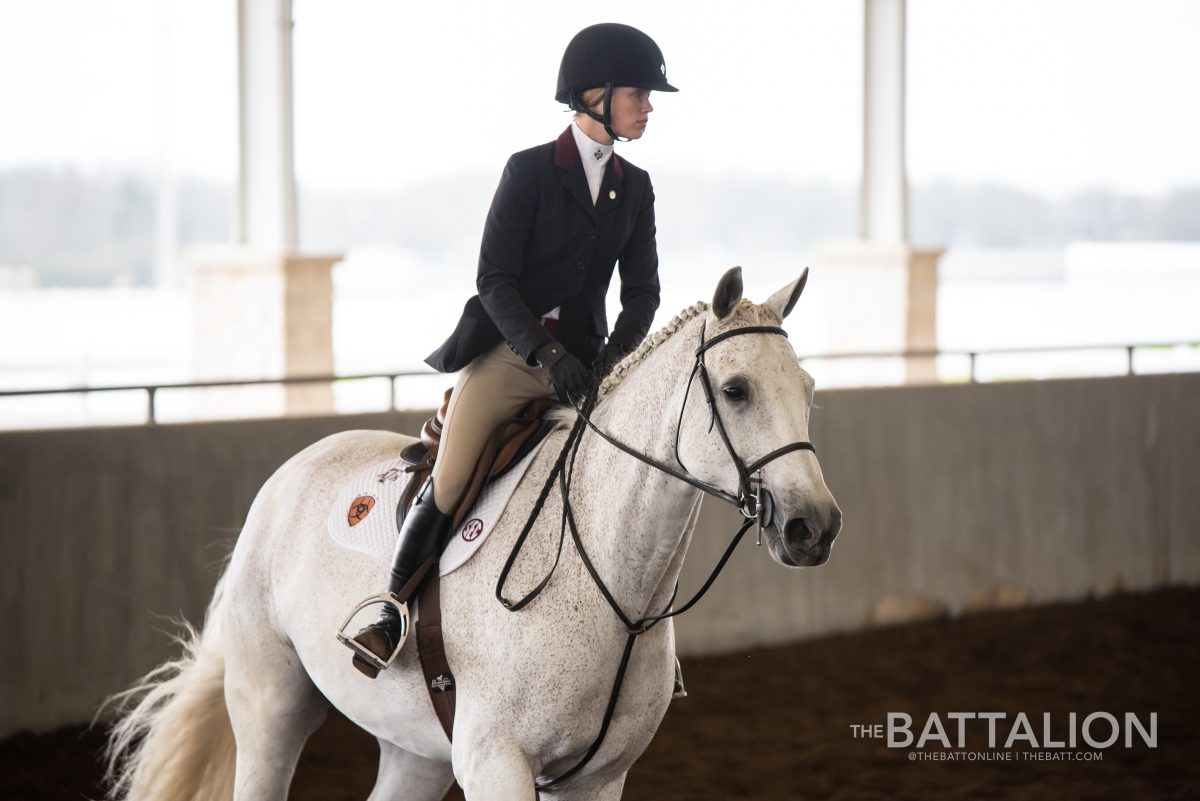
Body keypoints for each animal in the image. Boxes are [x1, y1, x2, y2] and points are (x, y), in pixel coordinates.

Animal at [105, 267, 844, 801]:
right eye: (737, 388)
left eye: (808, 388)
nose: (815, 526)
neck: (612, 589)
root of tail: (287, 478)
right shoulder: (495, 763)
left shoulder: (599, 778)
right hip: (270, 706)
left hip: (414, 750)